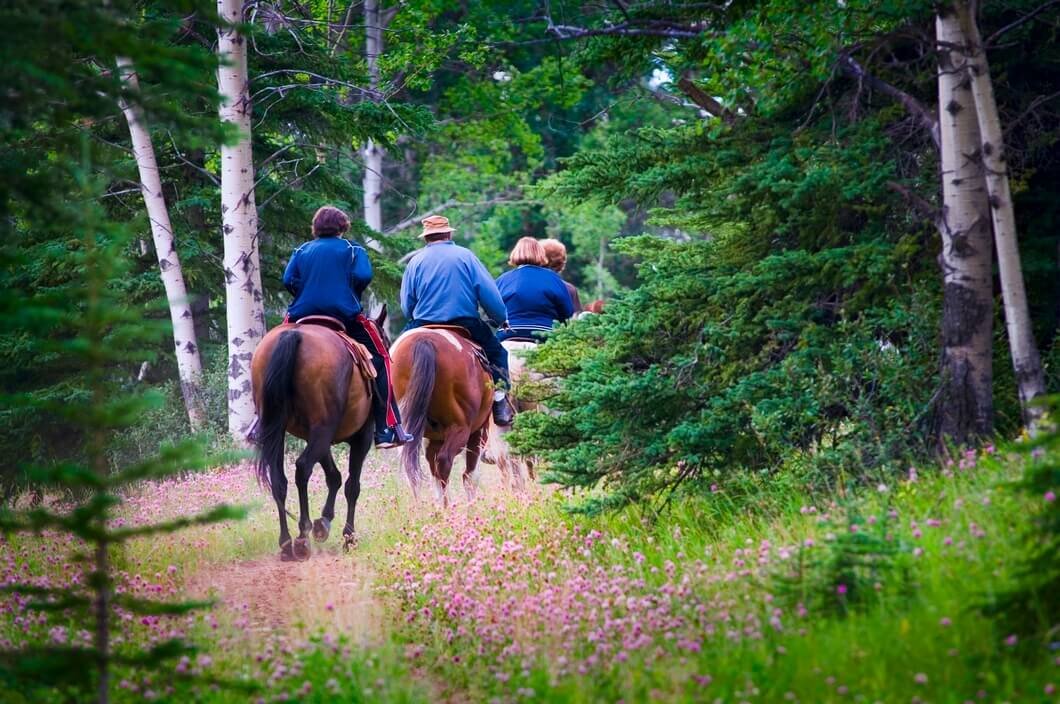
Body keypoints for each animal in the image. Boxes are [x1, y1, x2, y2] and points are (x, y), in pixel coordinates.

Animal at [250, 307, 392, 559]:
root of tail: (293, 335)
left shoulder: (316, 434)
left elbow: (334, 477)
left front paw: (323, 523)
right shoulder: (361, 436)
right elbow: (352, 486)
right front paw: (348, 537)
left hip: (282, 429)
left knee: (279, 479)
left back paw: (286, 542)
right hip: (324, 429)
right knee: (303, 468)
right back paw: (302, 536)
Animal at [392, 326, 493, 502]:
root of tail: (424, 340)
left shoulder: (433, 439)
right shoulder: (480, 429)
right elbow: (471, 476)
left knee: (414, 471)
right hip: (461, 428)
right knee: (445, 462)